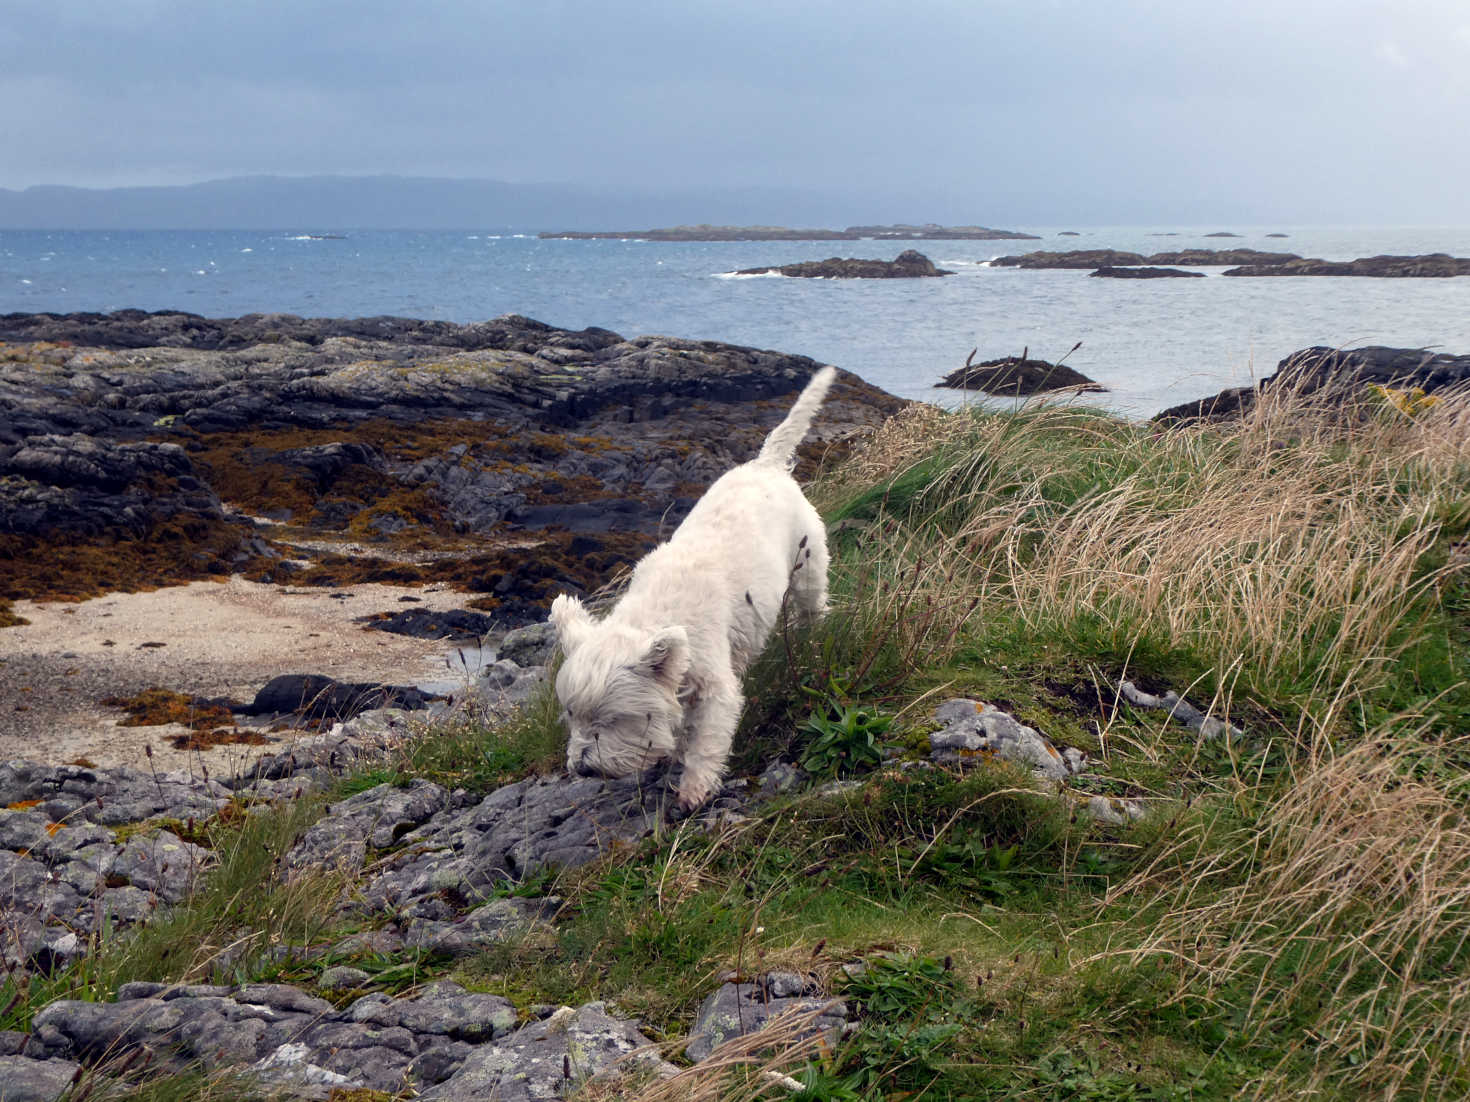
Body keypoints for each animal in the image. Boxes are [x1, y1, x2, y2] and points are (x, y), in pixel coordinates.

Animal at [549, 367, 840, 805]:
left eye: (611, 719)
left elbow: (706, 741)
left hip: (806, 567)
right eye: (571, 715)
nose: (582, 768)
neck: (654, 614)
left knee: (813, 606)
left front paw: (693, 789)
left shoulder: (715, 685)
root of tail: (766, 464)